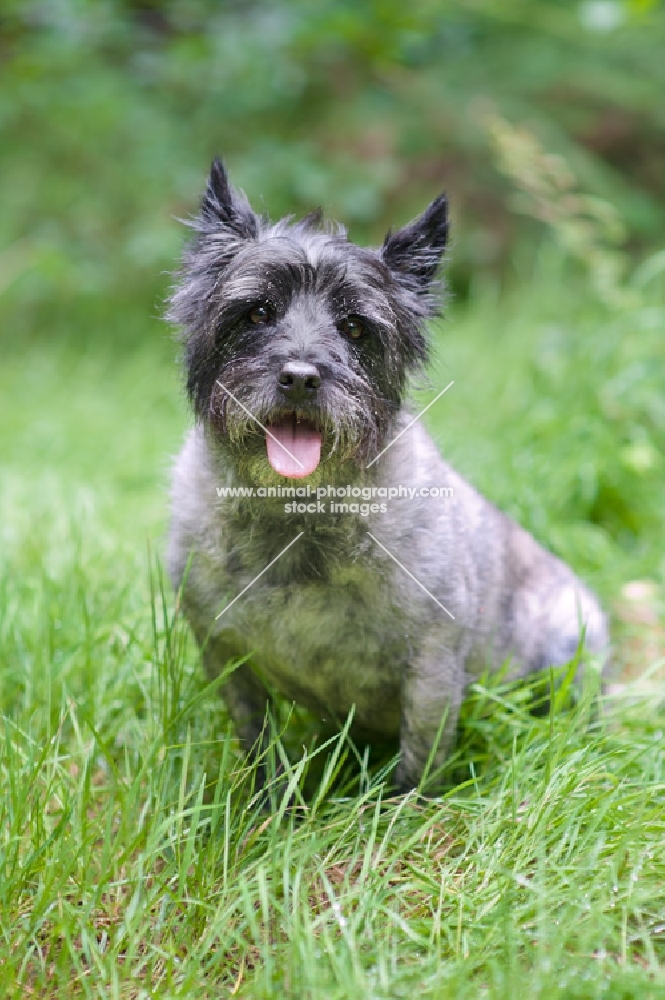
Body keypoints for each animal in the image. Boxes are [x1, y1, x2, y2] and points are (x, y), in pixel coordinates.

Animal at [166, 160, 608, 792]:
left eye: (354, 328)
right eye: (256, 312)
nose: (300, 377)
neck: (298, 516)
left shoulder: (432, 667)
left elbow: (419, 759)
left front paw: (403, 811)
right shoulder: (227, 659)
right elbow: (260, 746)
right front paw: (269, 805)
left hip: (566, 646)